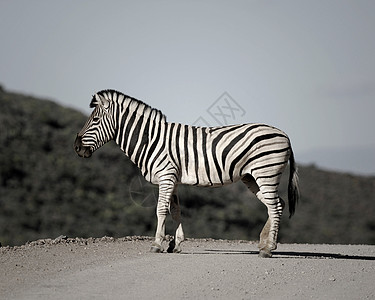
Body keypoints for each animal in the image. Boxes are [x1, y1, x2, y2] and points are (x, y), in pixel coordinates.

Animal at [75, 89, 302, 258]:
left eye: (95, 119)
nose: (76, 147)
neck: (151, 140)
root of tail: (285, 135)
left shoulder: (166, 176)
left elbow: (160, 209)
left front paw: (157, 244)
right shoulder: (173, 179)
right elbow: (175, 210)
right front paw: (175, 244)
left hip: (266, 172)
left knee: (274, 206)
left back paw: (268, 249)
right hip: (252, 177)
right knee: (278, 204)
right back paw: (264, 243)